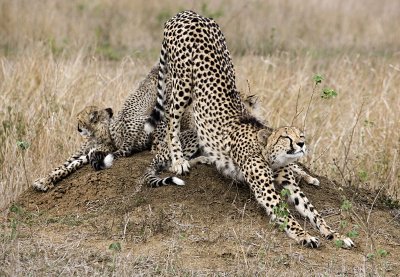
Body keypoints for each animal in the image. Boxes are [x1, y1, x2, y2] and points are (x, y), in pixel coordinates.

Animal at [145, 10, 354, 248]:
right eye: (286, 137)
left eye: (300, 135)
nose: (301, 144)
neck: (269, 154)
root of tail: (188, 13)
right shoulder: (265, 190)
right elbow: (287, 216)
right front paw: (304, 235)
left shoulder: (289, 183)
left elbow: (313, 211)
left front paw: (335, 235)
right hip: (182, 84)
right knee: (171, 118)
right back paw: (179, 160)